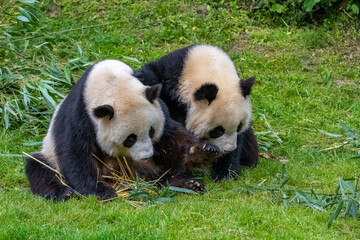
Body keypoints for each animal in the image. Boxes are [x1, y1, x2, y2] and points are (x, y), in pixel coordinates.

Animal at [24, 59, 219, 201]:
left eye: (151, 132)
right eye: (130, 138)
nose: (147, 156)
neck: (111, 81)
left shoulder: (157, 104)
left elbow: (172, 135)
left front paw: (205, 150)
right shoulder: (80, 114)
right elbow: (76, 152)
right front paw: (100, 191)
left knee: (169, 169)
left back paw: (185, 183)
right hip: (50, 154)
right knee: (39, 167)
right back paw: (62, 192)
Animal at [134, 44, 258, 180]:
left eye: (239, 126)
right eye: (218, 131)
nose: (228, 149)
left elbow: (240, 139)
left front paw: (225, 172)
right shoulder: (165, 77)